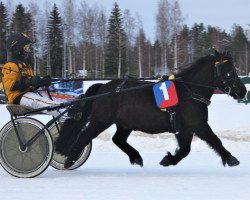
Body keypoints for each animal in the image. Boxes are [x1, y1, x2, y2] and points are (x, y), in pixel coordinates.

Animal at [55, 50, 246, 170]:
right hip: (100, 120)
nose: (242, 91)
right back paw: (70, 160)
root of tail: (104, 87)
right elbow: (214, 140)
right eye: (229, 72)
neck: (190, 91)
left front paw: (168, 160)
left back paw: (136, 157)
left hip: (124, 124)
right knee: (84, 136)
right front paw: (231, 158)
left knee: (118, 139)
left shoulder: (184, 128)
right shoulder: (197, 124)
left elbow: (185, 149)